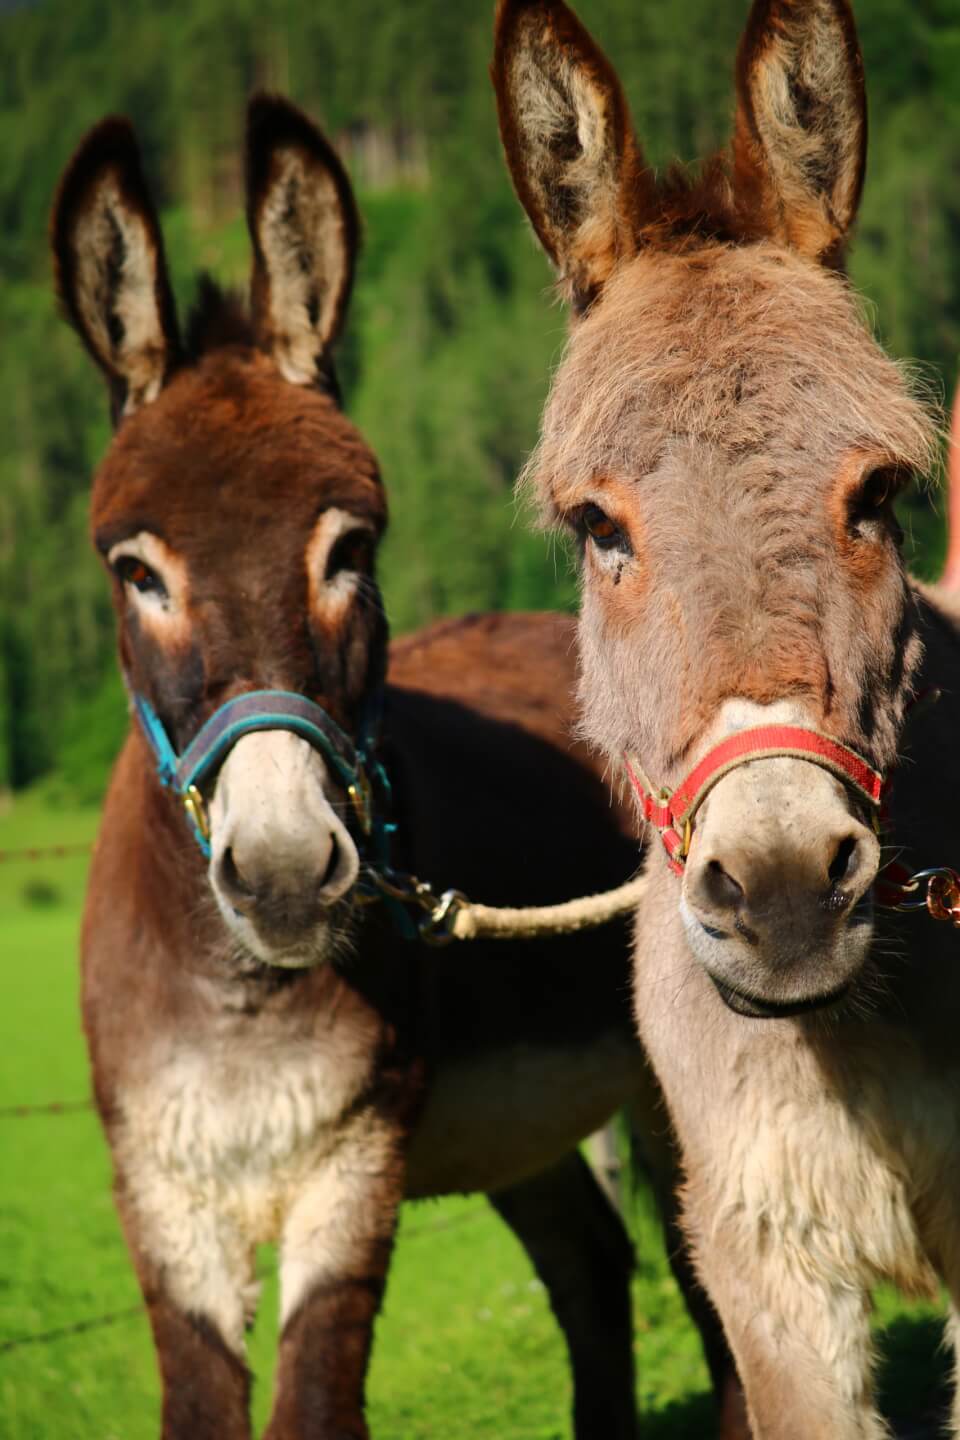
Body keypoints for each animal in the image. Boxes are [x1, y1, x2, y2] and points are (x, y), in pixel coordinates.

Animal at [51, 95, 742, 1439]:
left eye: (351, 549)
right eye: (135, 571)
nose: (280, 874)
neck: (243, 994)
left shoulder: (352, 1168)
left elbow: (317, 1405)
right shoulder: (165, 1196)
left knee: (708, 1286)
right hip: (519, 1130)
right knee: (593, 1263)